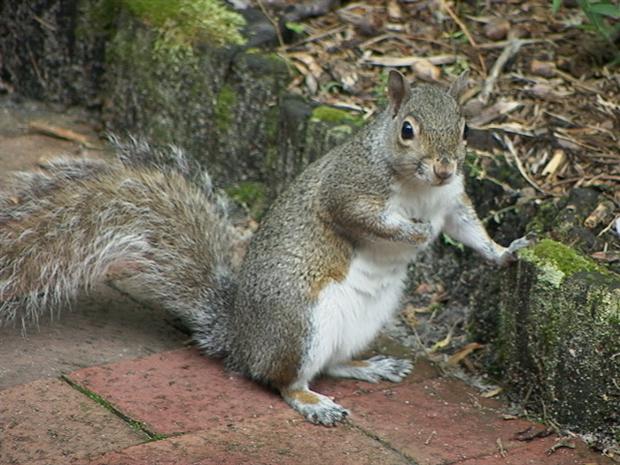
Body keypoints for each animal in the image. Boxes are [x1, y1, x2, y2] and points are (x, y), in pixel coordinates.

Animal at [0, 70, 532, 424]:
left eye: (466, 129)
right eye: (407, 130)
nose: (443, 167)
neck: (419, 188)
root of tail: (240, 339)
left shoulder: (452, 200)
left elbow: (469, 229)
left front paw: (507, 252)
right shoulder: (347, 190)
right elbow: (363, 218)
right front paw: (414, 235)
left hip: (362, 320)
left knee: (333, 363)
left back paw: (370, 366)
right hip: (299, 323)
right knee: (282, 380)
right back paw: (312, 402)